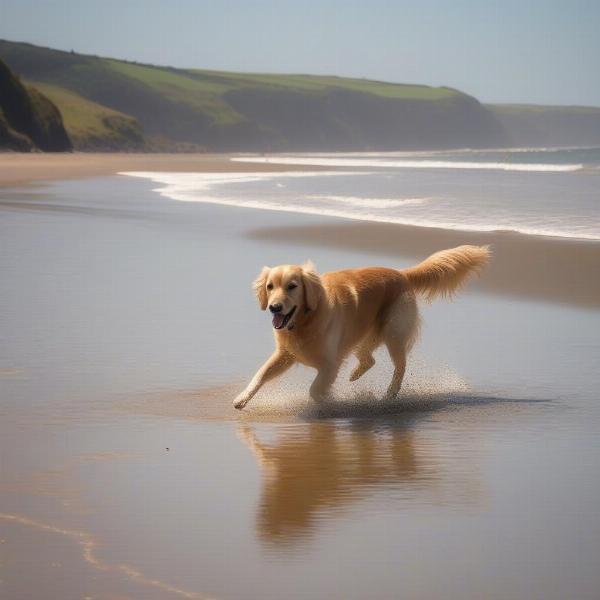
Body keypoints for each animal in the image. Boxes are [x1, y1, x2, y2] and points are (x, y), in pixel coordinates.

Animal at [232, 244, 490, 408]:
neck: (306, 319)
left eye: (292, 286)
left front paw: (330, 401)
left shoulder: (330, 364)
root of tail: (402, 274)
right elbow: (260, 374)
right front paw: (241, 399)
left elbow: (315, 389)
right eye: (270, 286)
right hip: (362, 335)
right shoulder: (284, 355)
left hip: (393, 332)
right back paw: (355, 376)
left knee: (400, 366)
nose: (274, 307)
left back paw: (389, 394)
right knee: (369, 359)